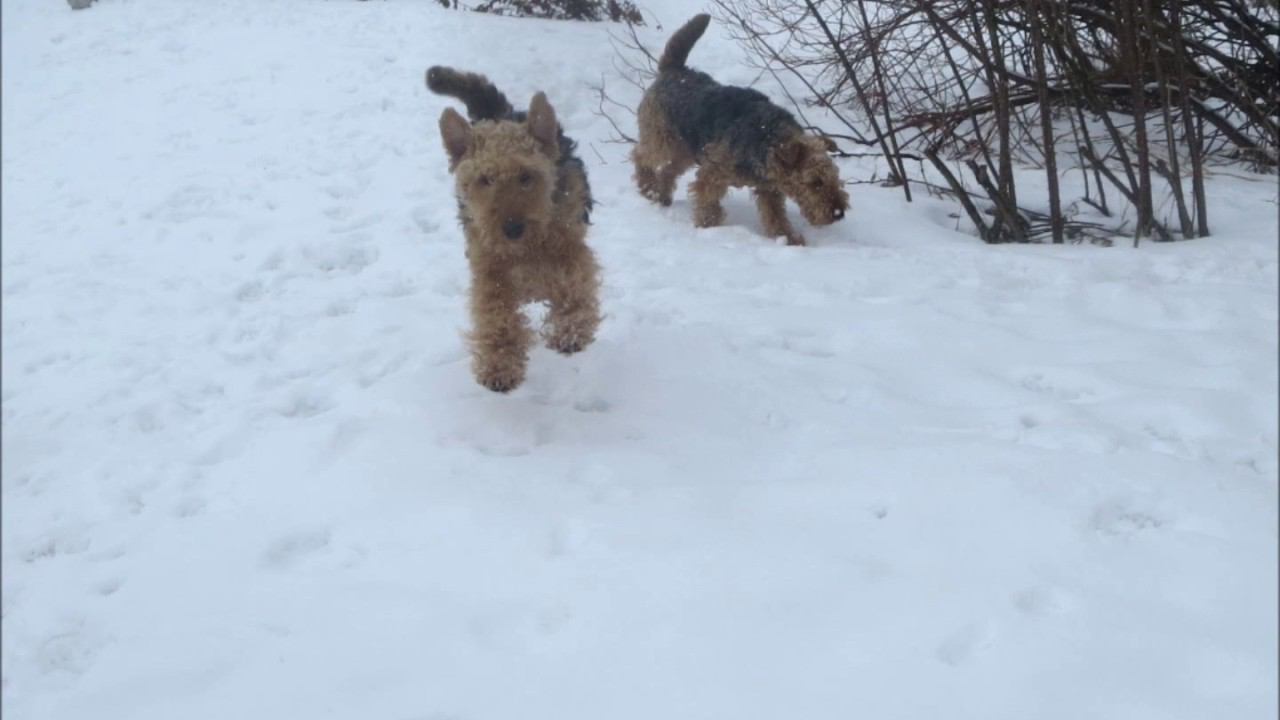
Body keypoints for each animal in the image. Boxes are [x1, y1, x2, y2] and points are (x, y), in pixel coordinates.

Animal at [424, 65, 593, 392]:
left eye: (526, 176)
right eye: (485, 179)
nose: (512, 229)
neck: (526, 249)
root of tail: (499, 113)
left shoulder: (570, 248)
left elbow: (575, 285)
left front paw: (570, 332)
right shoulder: (489, 269)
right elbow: (495, 313)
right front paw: (499, 366)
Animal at [632, 12, 849, 243]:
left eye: (835, 177)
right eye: (815, 182)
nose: (839, 212)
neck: (767, 138)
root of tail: (673, 69)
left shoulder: (768, 190)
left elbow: (776, 218)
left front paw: (789, 240)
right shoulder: (712, 173)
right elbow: (707, 203)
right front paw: (708, 227)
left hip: (685, 151)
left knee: (667, 171)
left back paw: (662, 196)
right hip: (662, 140)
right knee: (640, 155)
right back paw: (648, 188)